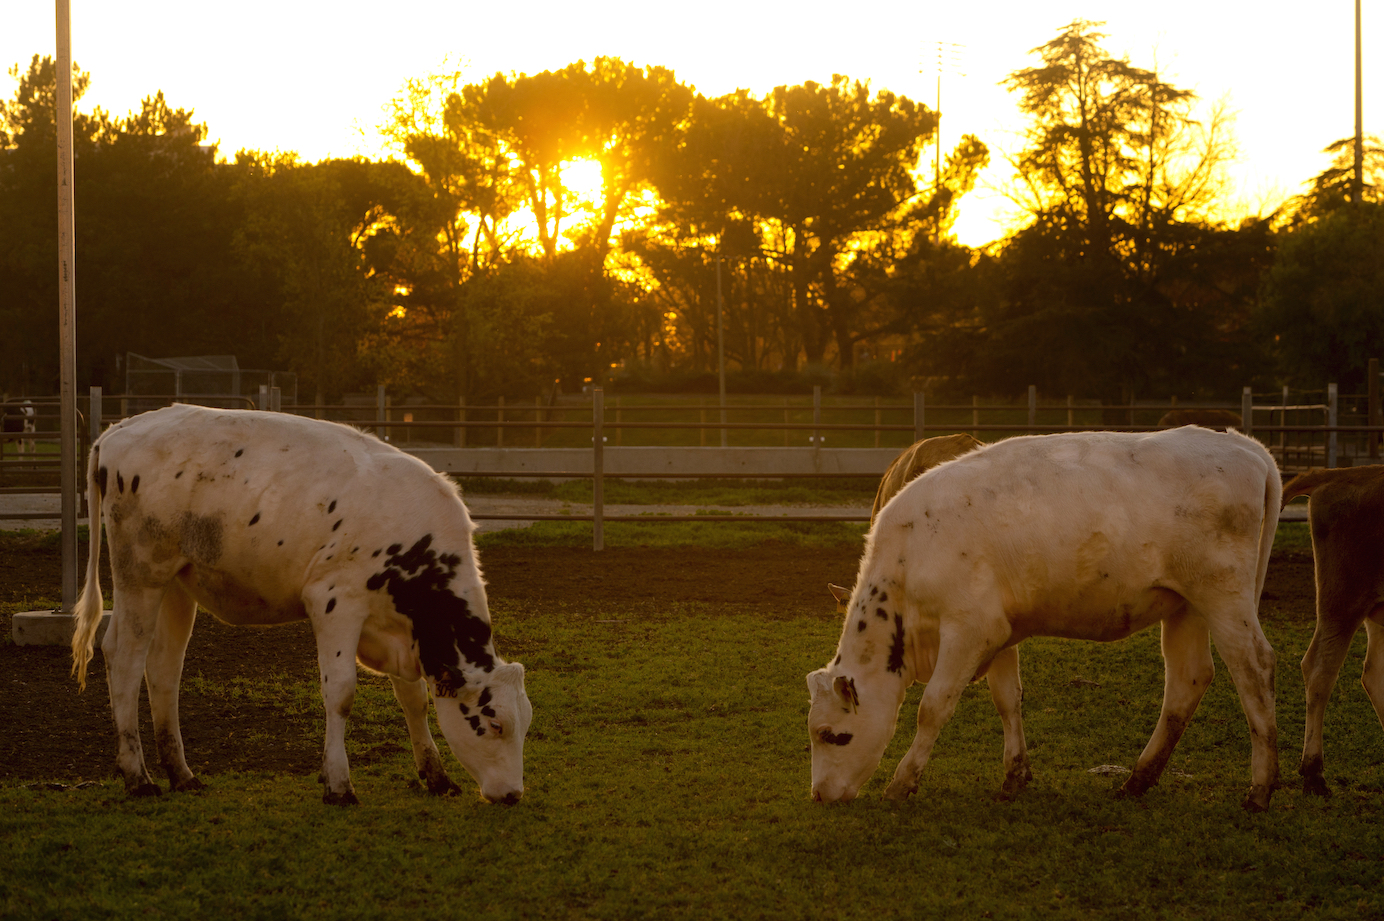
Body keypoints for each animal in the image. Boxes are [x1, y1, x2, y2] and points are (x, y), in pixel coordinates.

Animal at [70, 407, 534, 803]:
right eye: (495, 723)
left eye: (526, 724)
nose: (513, 794)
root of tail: (120, 429)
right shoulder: (336, 601)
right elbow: (341, 693)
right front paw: (338, 783)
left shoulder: (403, 630)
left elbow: (413, 698)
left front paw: (436, 775)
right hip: (141, 572)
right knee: (124, 658)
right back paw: (138, 777)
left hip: (177, 584)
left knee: (164, 669)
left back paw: (182, 774)